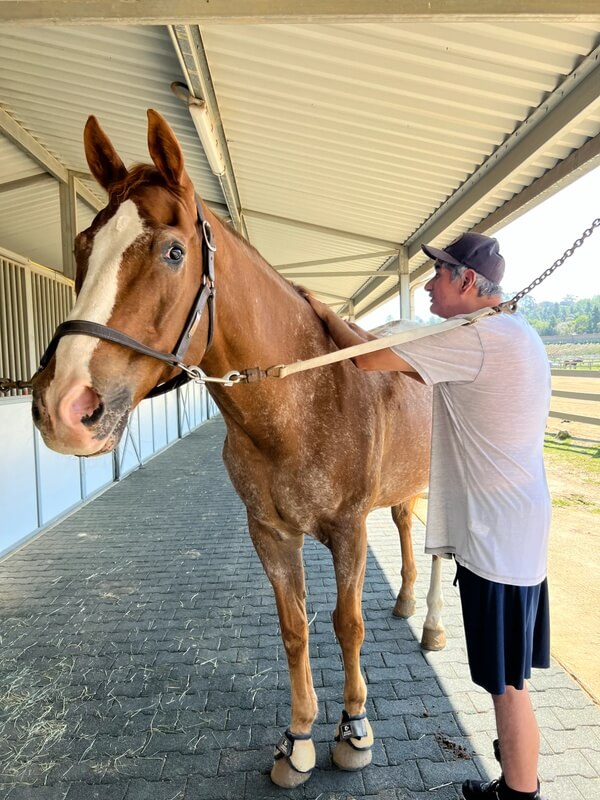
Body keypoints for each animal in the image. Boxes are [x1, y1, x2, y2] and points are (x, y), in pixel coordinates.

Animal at [31, 110, 445, 788]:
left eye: (174, 251)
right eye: (83, 247)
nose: (63, 405)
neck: (301, 406)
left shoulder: (349, 529)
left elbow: (347, 625)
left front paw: (354, 730)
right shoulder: (270, 533)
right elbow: (295, 627)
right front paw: (298, 739)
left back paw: (433, 625)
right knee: (409, 526)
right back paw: (408, 603)